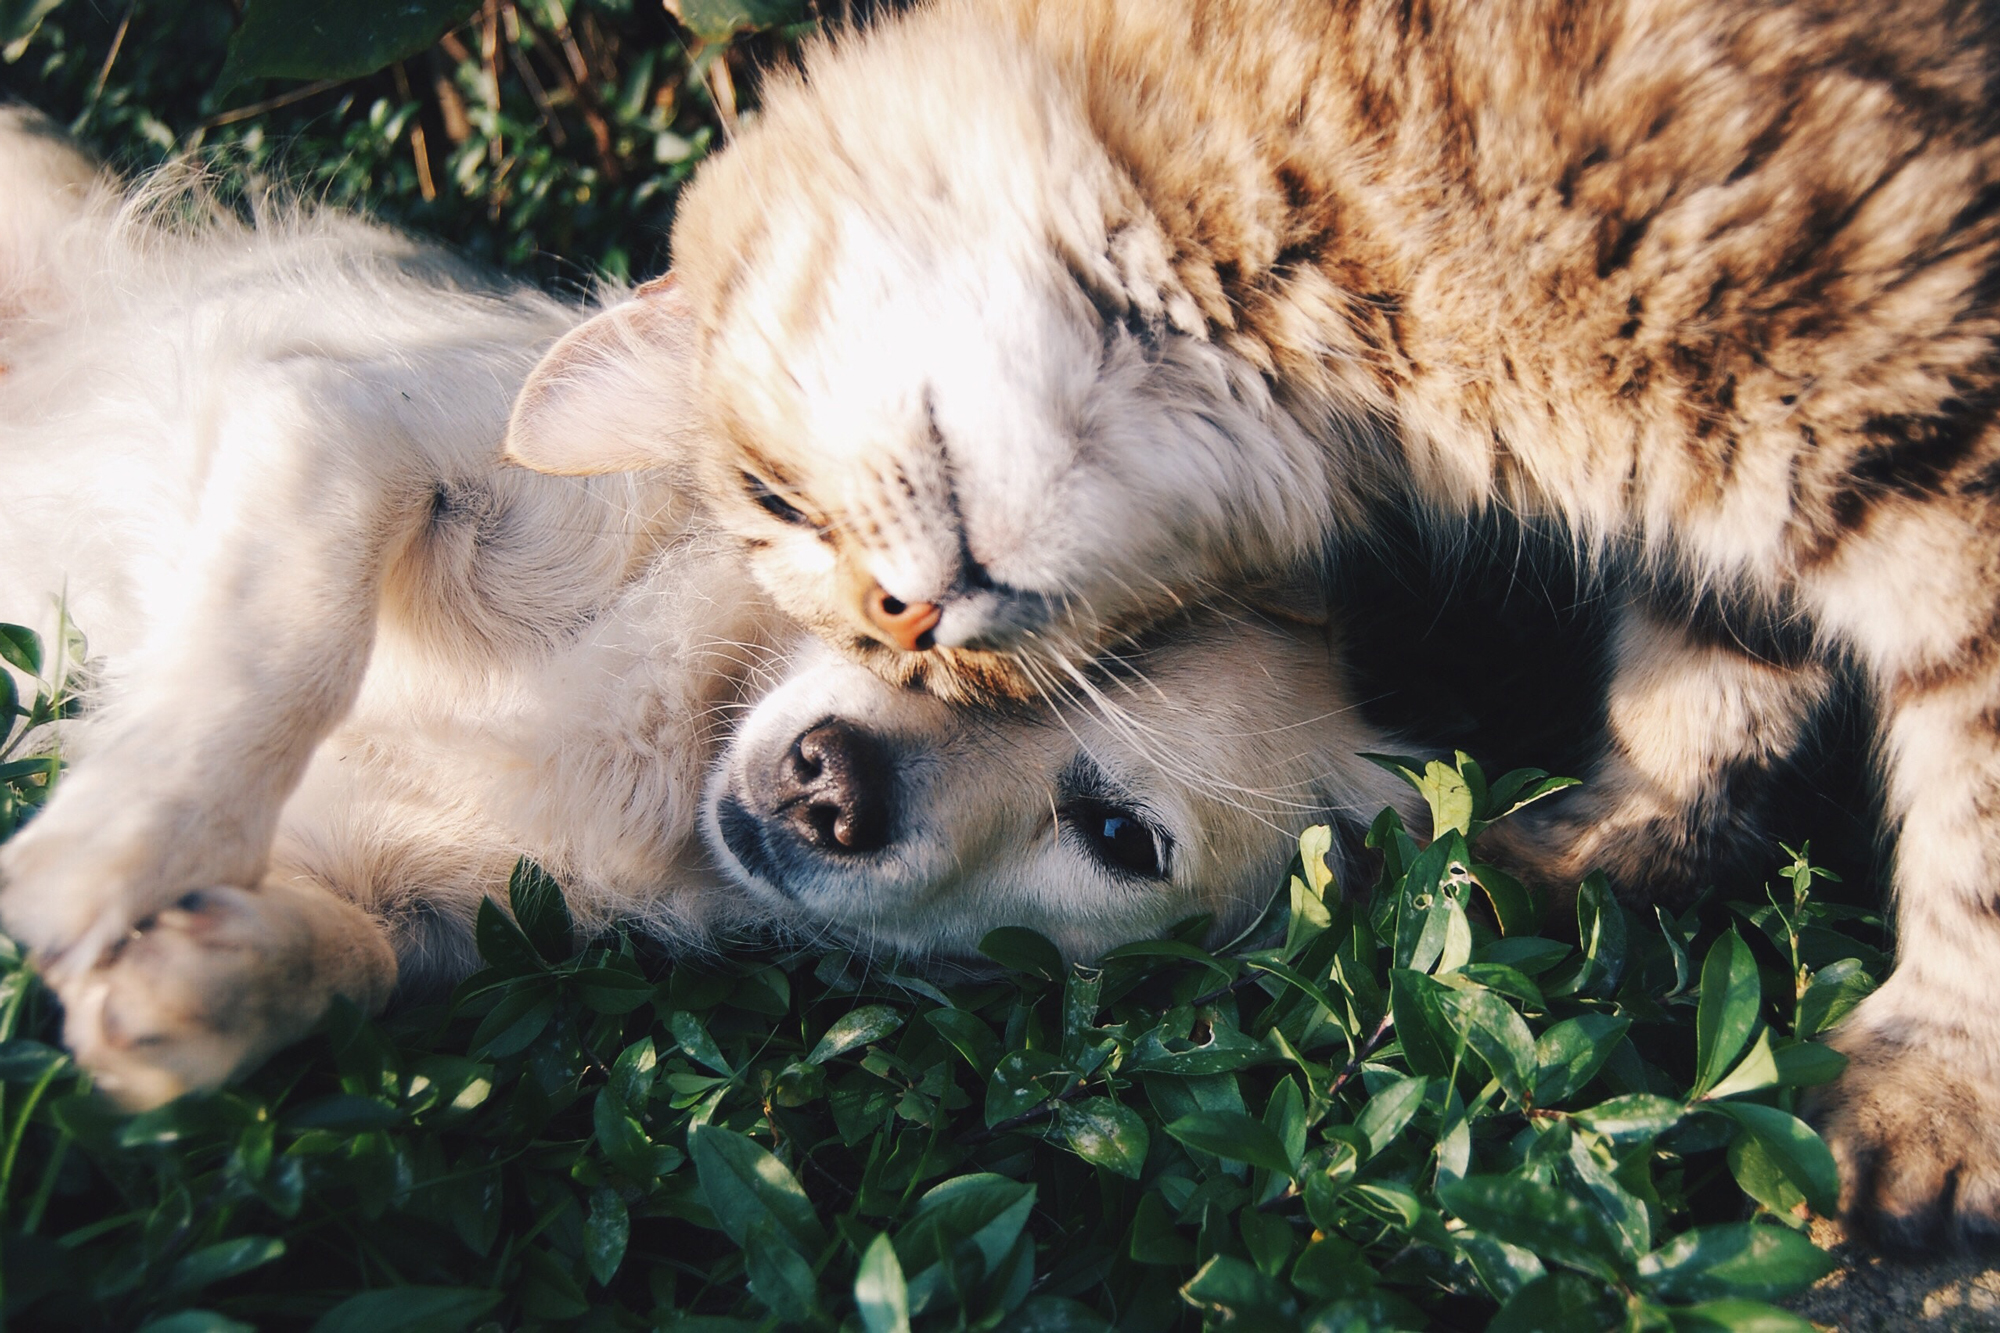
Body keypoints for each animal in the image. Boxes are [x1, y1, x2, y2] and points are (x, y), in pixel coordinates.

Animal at [0, 114, 1408, 1104]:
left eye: (1119, 837)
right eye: (904, 607)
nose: (829, 784)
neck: (675, 730)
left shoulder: (437, 905)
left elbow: (362, 958)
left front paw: (206, 984)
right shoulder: (345, 424)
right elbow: (284, 648)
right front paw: (116, 849)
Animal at [504, 0, 2000, 1248]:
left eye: (772, 499)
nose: (905, 623)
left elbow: (1972, 819)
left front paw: (1936, 1090)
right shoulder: (1728, 504)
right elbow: (1701, 687)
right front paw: (1591, 854)